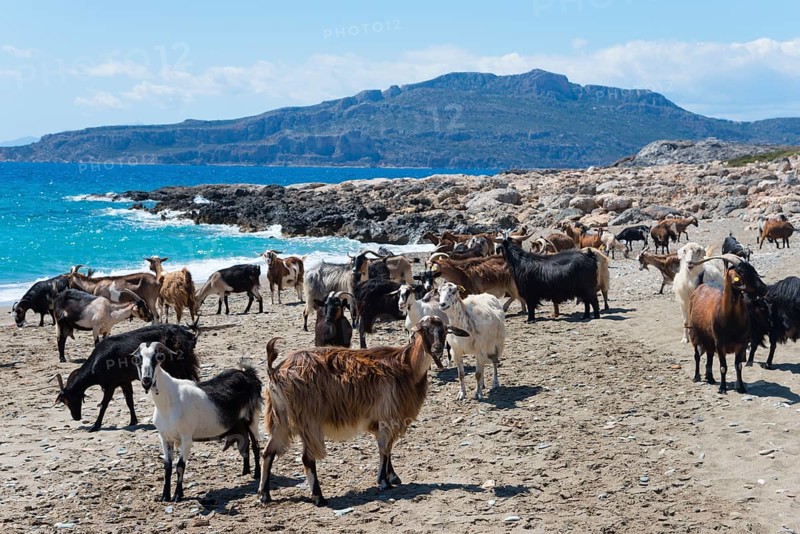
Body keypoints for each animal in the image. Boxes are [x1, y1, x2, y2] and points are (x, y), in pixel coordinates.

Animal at [54, 324, 199, 431]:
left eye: (67, 400)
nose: (76, 417)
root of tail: (189, 336)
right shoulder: (124, 381)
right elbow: (129, 400)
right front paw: (133, 421)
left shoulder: (110, 385)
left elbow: (104, 404)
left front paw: (95, 426)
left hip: (180, 365)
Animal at [134, 342, 263, 502]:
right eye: (137, 359)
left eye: (157, 358)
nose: (146, 380)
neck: (168, 401)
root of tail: (249, 375)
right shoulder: (165, 437)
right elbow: (167, 467)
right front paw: (165, 496)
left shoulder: (186, 437)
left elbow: (180, 466)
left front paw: (177, 495)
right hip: (239, 423)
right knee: (246, 443)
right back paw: (245, 472)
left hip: (252, 417)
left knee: (256, 445)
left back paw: (257, 474)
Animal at [257, 316, 465, 506]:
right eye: (425, 330)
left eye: (444, 330)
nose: (438, 348)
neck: (407, 367)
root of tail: (276, 372)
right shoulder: (388, 415)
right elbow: (384, 449)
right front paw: (383, 481)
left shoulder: (385, 419)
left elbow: (388, 448)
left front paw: (392, 476)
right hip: (309, 420)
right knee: (307, 458)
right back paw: (318, 497)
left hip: (280, 419)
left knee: (268, 453)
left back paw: (264, 495)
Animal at [687, 255, 767, 393]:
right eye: (742, 272)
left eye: (753, 270)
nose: (764, 288)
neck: (731, 319)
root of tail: (701, 285)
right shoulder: (720, 343)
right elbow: (723, 366)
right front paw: (722, 388)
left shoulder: (741, 342)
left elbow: (738, 365)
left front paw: (741, 388)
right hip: (695, 334)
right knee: (697, 355)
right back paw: (697, 376)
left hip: (709, 338)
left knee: (709, 355)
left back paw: (710, 378)